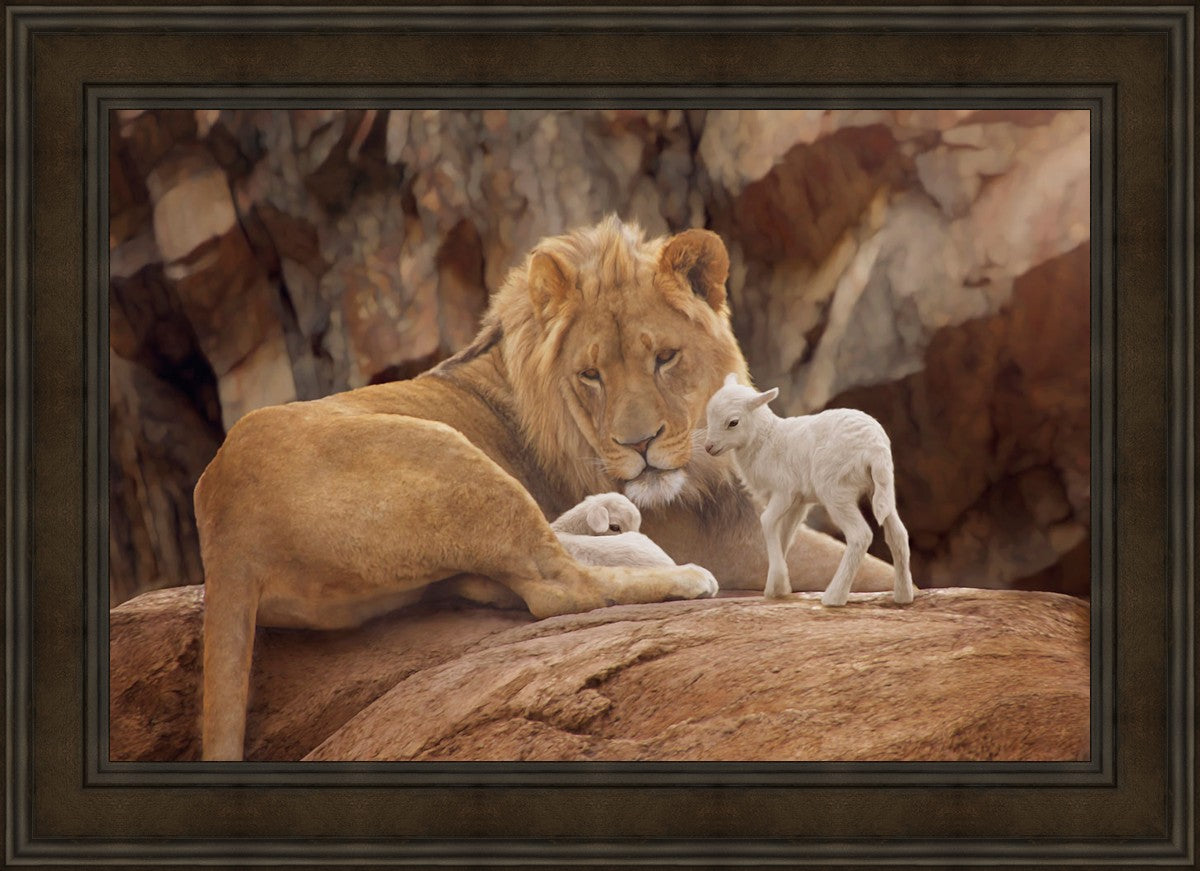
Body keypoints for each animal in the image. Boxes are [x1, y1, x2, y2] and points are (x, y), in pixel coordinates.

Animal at [194, 216, 894, 761]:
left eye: (664, 358)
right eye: (591, 374)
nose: (640, 445)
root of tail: (223, 526)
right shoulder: (733, 543)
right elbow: (870, 565)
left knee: (513, 571)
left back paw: (609, 519)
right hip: (447, 454)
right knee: (556, 586)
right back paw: (676, 574)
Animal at [703, 374, 915, 606]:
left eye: (733, 422)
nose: (708, 447)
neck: (765, 440)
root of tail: (875, 448)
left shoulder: (784, 491)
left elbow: (766, 521)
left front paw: (778, 582)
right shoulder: (798, 502)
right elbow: (785, 534)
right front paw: (777, 587)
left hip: (835, 489)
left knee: (860, 535)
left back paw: (834, 596)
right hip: (881, 487)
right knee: (898, 534)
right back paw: (903, 595)